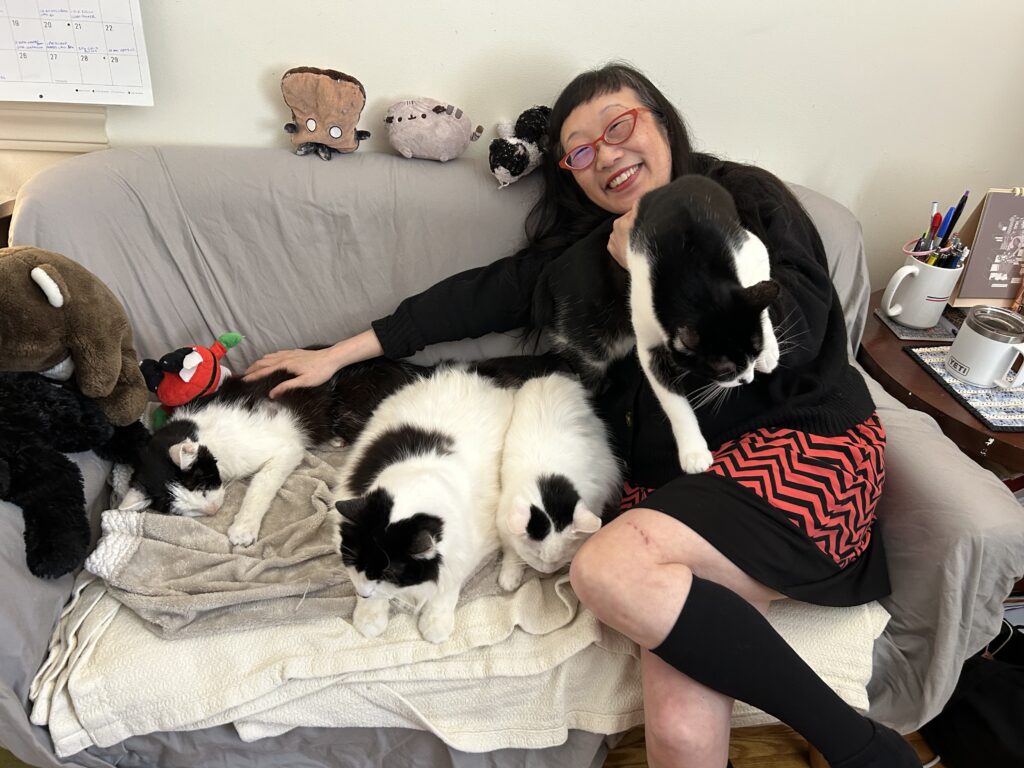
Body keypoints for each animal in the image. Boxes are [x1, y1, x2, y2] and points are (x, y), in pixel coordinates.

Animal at [119, 359, 423, 547]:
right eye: (180, 510)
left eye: (202, 487)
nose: (213, 510)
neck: (203, 431)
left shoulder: (286, 447)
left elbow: (261, 483)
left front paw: (243, 527)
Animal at [333, 366, 514, 644]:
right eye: (355, 561)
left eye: (389, 574)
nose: (364, 593)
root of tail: (465, 372)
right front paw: (369, 619)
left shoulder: (463, 551)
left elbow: (446, 588)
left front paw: (435, 625)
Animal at [495, 372, 623, 592]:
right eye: (535, 555)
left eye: (562, 556)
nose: (547, 571)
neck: (550, 486)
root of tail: (550, 377)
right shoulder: (504, 516)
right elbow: (511, 547)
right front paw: (509, 576)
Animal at [627, 174, 780, 472]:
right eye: (724, 368)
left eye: (753, 352)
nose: (747, 379)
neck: (695, 280)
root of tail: (678, 183)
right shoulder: (645, 321)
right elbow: (671, 399)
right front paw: (694, 452)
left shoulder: (749, 252)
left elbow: (760, 288)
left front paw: (767, 349)